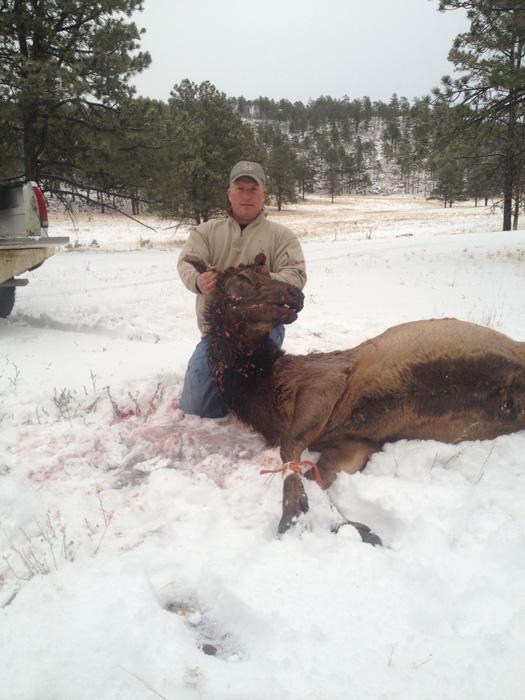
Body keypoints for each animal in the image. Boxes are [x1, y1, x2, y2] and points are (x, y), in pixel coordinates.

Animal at [184, 254, 525, 544]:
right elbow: (315, 474)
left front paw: (292, 513)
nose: (295, 294)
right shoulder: (354, 440)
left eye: (267, 274)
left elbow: (290, 450)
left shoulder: (327, 379)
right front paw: (353, 527)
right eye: (242, 278)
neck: (262, 389)